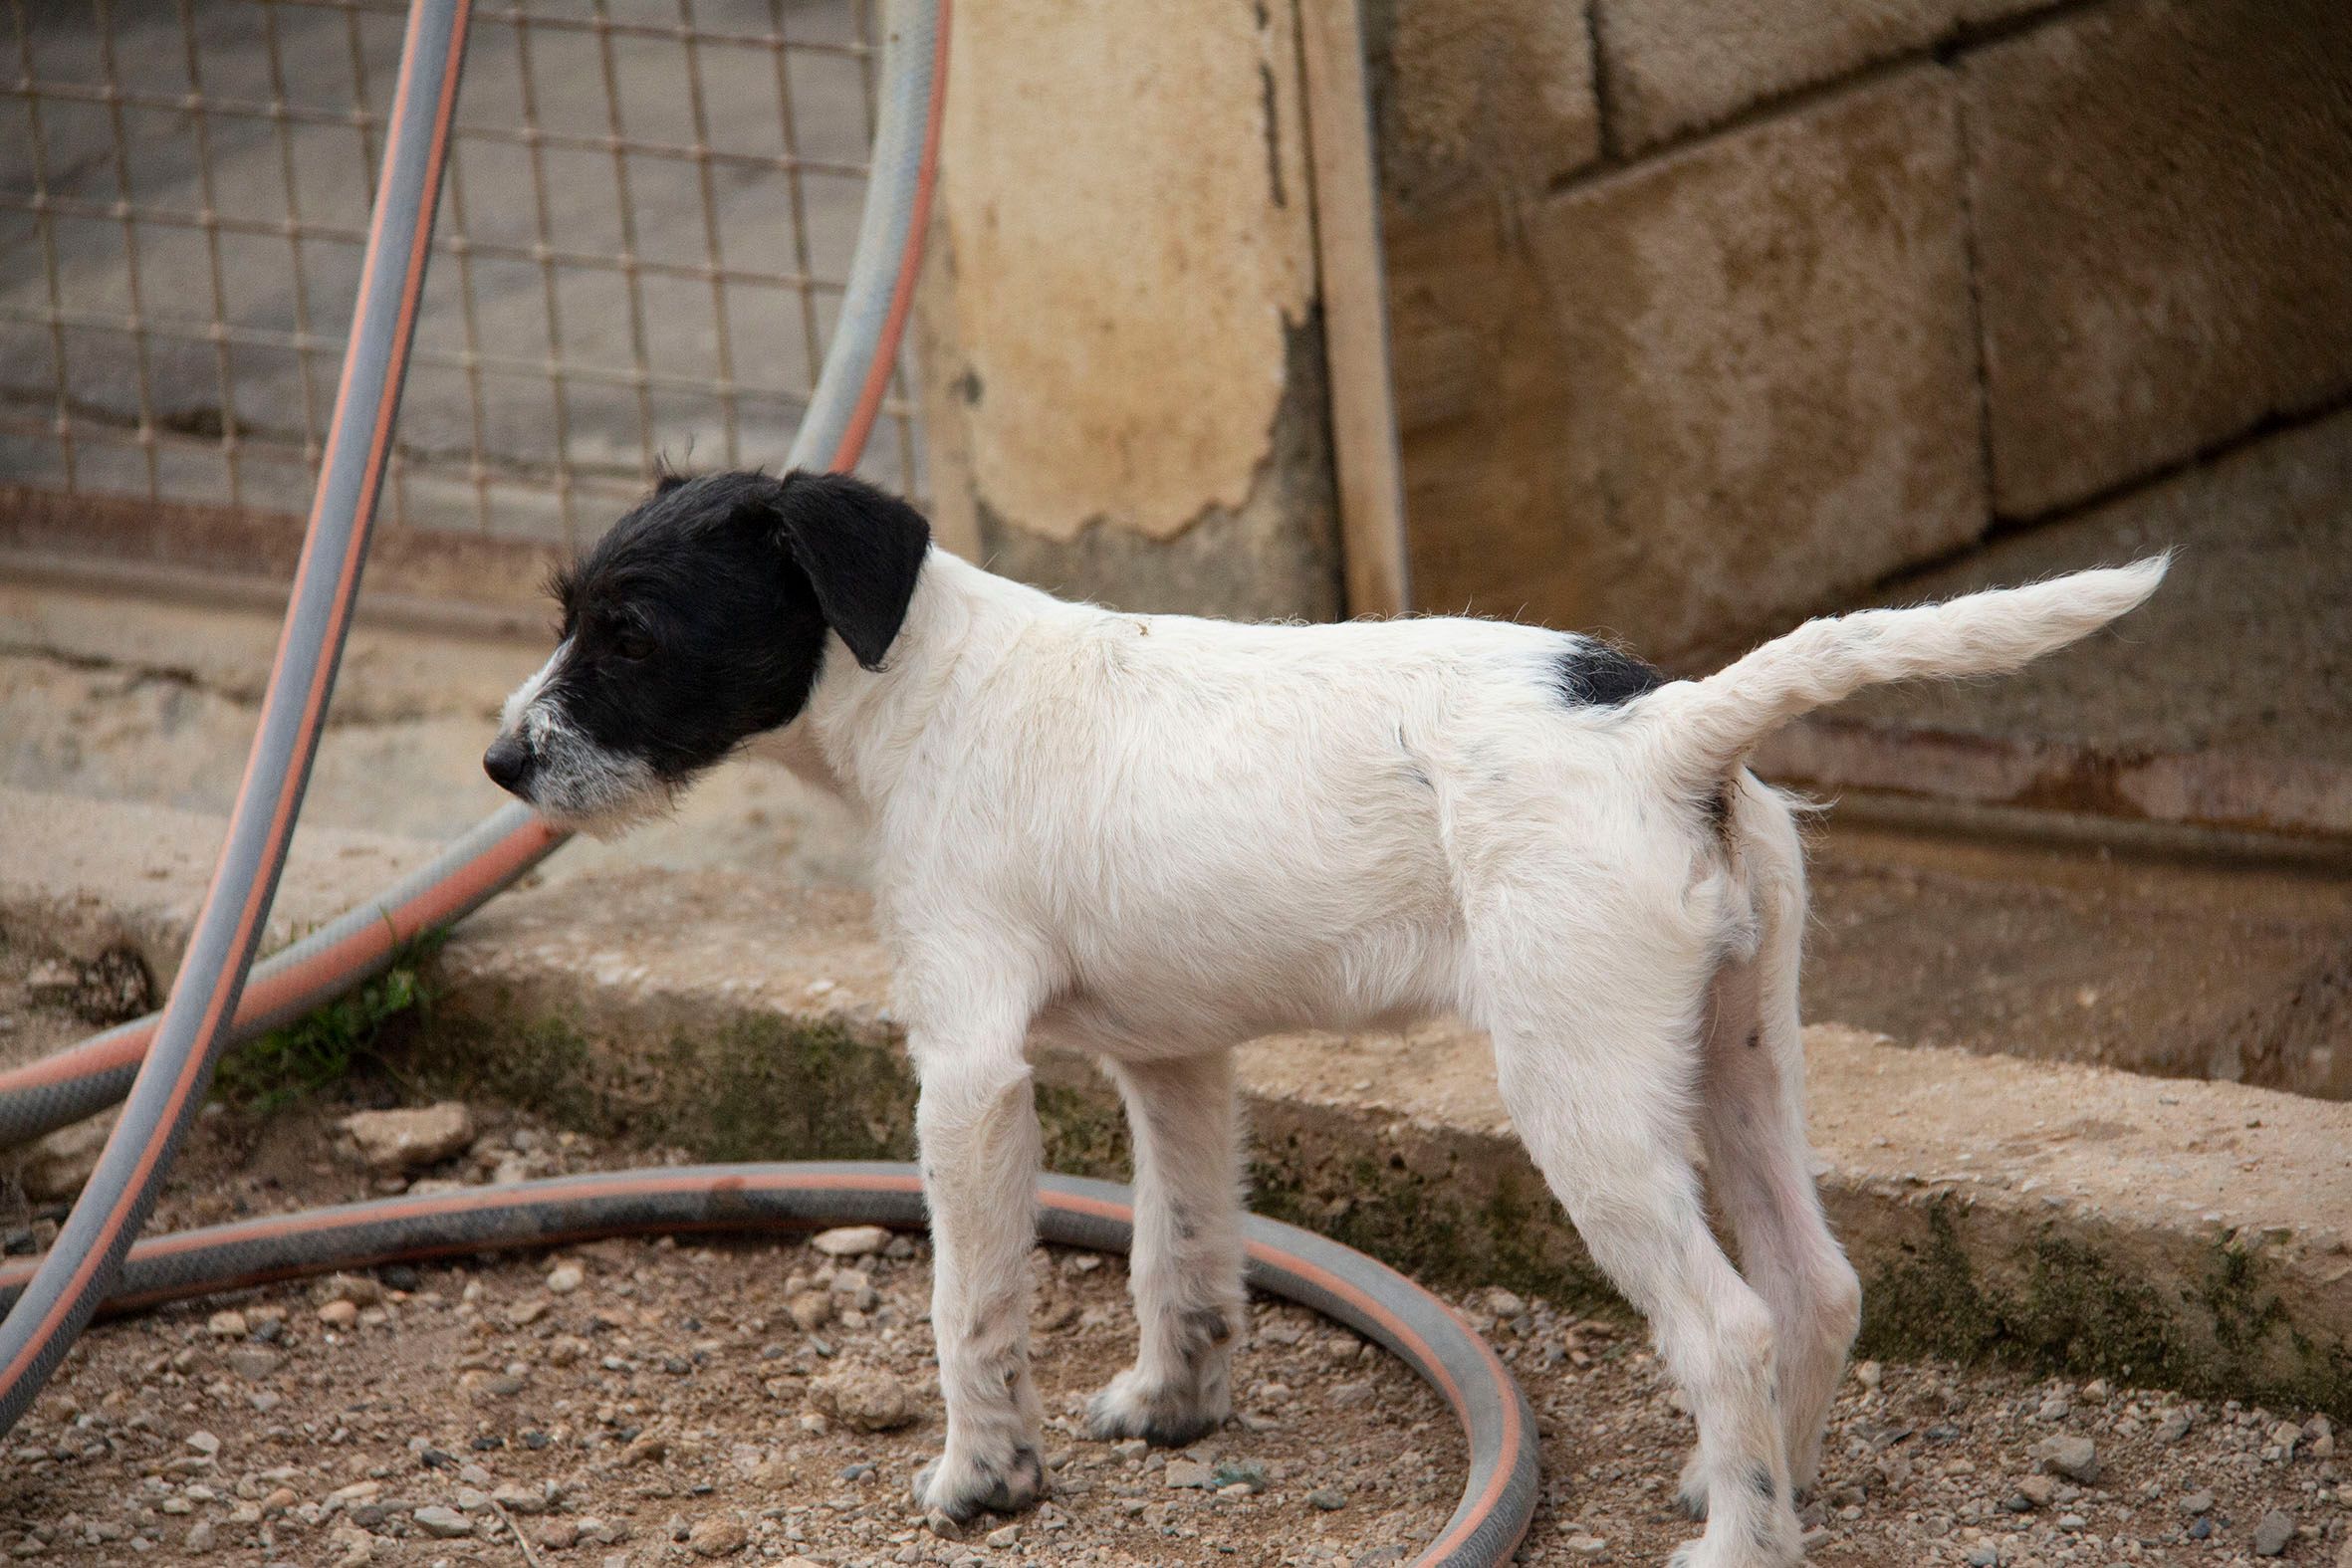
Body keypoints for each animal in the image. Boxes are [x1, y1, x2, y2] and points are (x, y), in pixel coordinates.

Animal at [484, 468, 2164, 1565]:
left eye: (628, 631)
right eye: (570, 612)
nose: (502, 762)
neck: (926, 681)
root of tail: (1662, 724)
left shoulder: (965, 1071)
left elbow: (969, 1301)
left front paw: (982, 1475)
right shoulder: (1172, 1056)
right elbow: (1179, 1251)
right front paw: (1174, 1401)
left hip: (1583, 1089)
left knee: (1728, 1319)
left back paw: (1741, 1543)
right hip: (1739, 1051)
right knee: (1813, 1284)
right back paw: (1756, 1487)